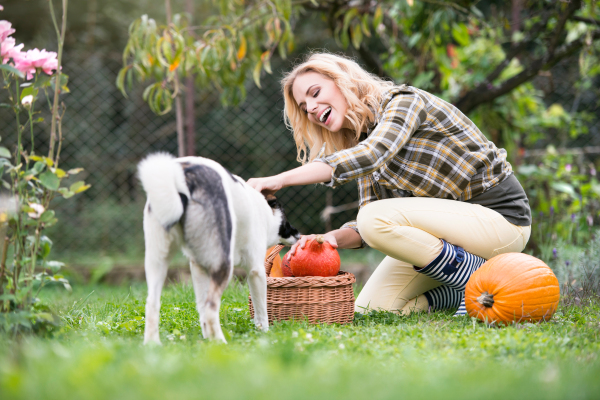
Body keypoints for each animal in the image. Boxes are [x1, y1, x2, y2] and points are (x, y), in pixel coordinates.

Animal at [137, 153, 298, 344]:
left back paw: (153, 344)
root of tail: (184, 175)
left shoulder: (198, 267)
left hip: (157, 261)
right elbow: (261, 312)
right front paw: (265, 334)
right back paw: (221, 343)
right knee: (211, 308)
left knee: (153, 304)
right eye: (286, 219)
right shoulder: (255, 271)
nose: (299, 234)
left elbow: (201, 310)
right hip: (224, 266)